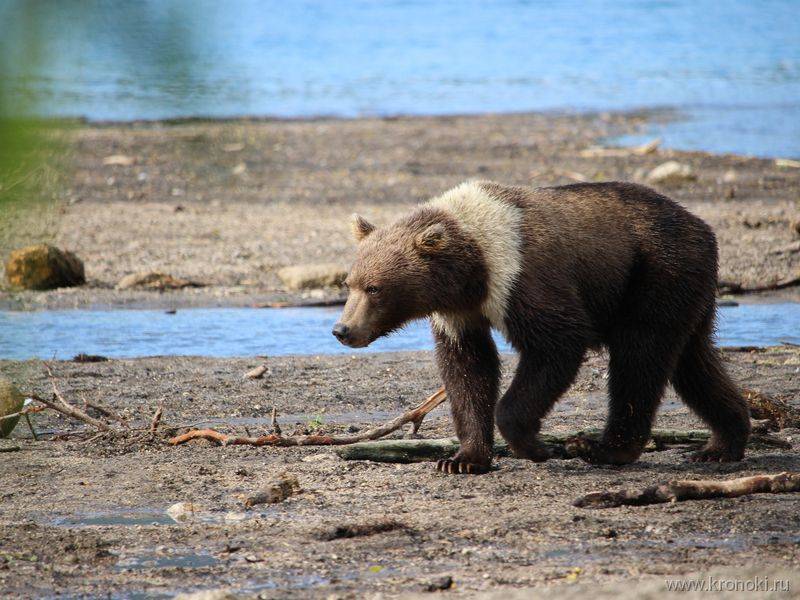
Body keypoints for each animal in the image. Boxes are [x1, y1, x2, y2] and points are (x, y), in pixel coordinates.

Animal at [332, 178, 752, 474]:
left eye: (375, 288)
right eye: (349, 283)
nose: (342, 329)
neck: (474, 268)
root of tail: (701, 225)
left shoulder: (522, 276)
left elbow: (557, 342)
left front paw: (534, 445)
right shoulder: (458, 313)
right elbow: (468, 369)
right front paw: (462, 458)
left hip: (656, 273)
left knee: (640, 355)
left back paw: (605, 448)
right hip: (686, 291)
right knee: (693, 361)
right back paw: (723, 443)